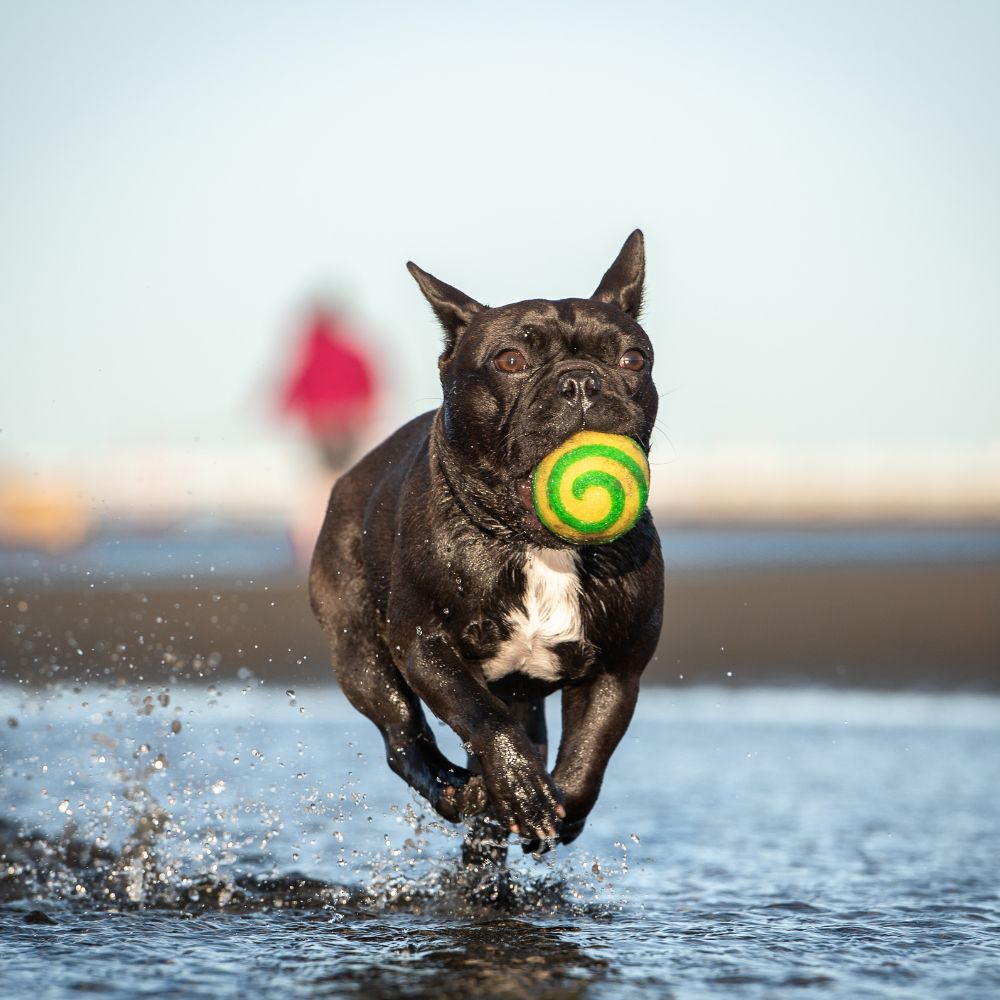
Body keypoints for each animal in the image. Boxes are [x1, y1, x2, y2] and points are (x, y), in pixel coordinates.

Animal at [308, 230, 660, 856]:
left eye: (632, 360)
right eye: (510, 361)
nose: (580, 382)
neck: (539, 546)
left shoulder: (618, 672)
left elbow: (590, 751)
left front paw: (557, 806)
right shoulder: (424, 644)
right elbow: (479, 714)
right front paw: (520, 788)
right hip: (359, 648)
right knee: (402, 732)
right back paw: (455, 788)